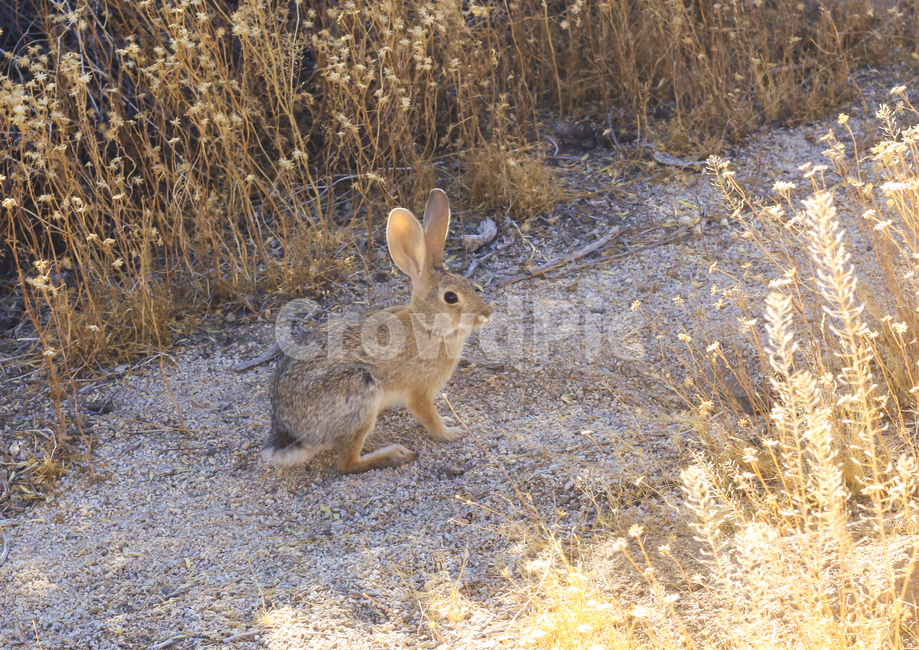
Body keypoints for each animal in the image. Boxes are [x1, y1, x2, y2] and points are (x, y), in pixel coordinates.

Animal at [263, 189, 493, 474]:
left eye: (468, 283)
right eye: (451, 297)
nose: (487, 313)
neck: (428, 325)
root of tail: (293, 434)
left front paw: (450, 420)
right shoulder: (418, 392)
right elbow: (429, 419)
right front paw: (450, 433)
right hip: (360, 392)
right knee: (346, 464)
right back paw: (394, 455)